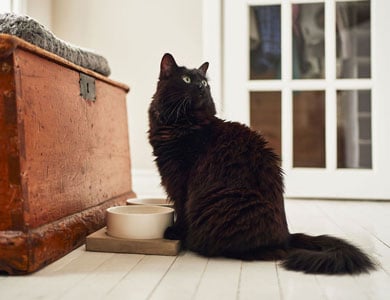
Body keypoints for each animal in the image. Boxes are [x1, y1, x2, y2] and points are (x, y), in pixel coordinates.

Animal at [149, 53, 374, 274]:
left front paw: (176, 233)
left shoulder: (180, 181)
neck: (182, 124)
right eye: (187, 80)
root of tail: (287, 236)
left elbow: (180, 209)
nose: (201, 88)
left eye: (204, 82)